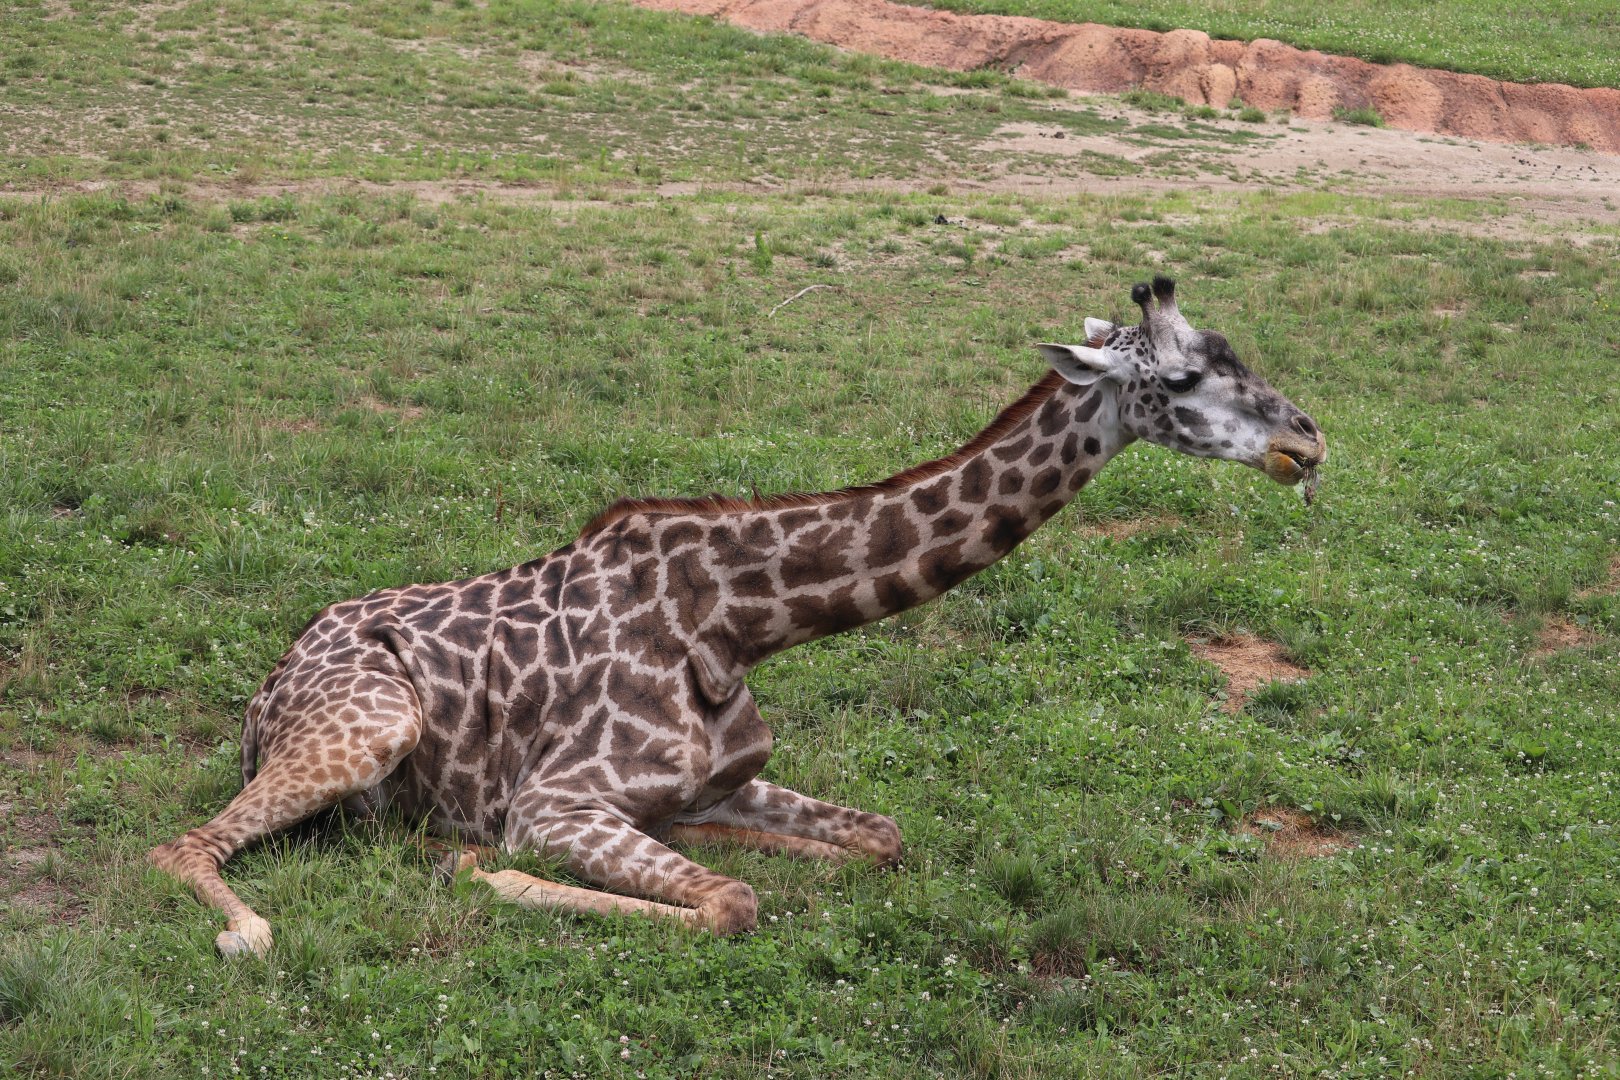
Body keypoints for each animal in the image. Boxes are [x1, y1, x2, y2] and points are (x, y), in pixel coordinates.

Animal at [151, 276, 1326, 956]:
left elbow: (880, 839)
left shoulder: (730, 778)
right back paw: (251, 928)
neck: (739, 617)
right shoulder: (552, 808)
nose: (1308, 441)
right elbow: (728, 902)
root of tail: (266, 689)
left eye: (1240, 352)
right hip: (374, 723)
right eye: (1186, 375)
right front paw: (476, 870)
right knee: (183, 848)